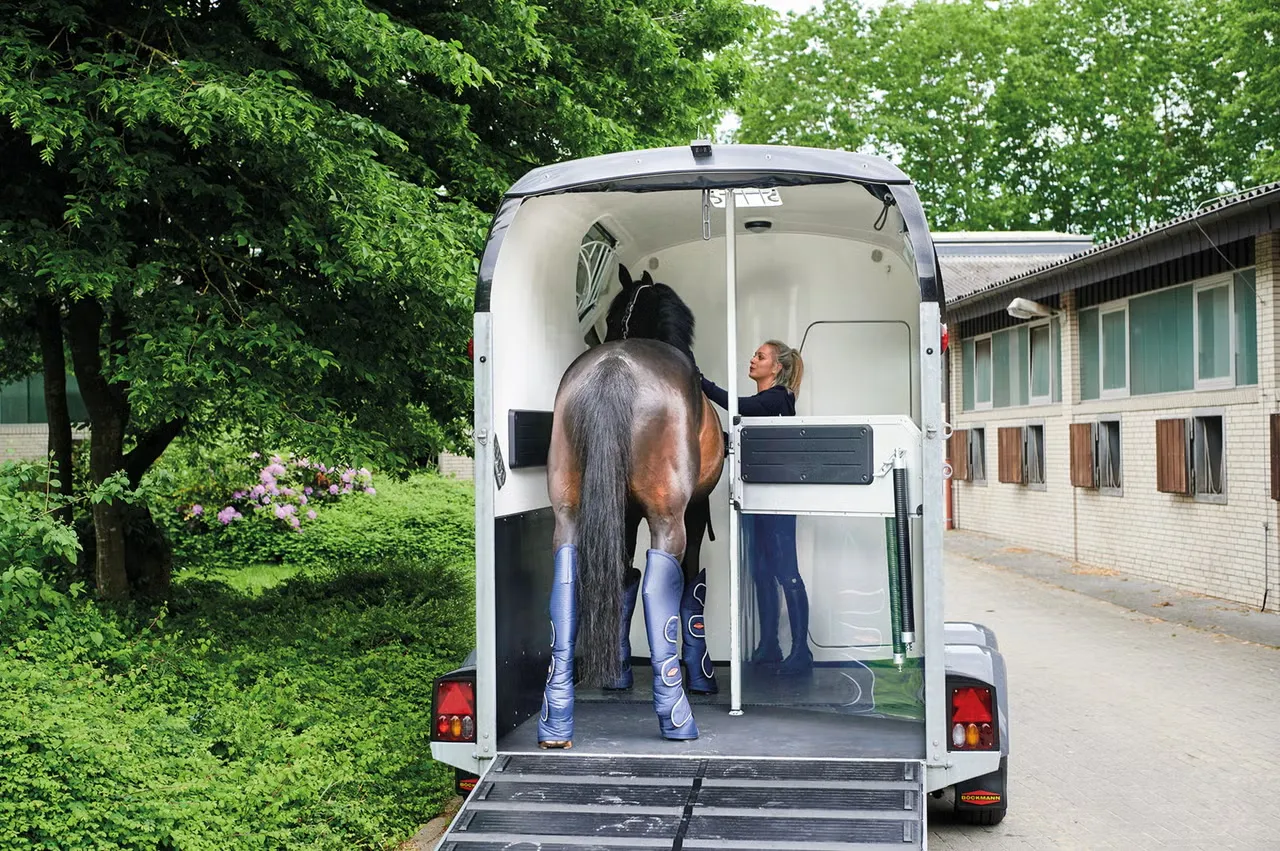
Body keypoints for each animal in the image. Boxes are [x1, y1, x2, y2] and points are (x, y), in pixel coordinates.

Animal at [538, 264, 726, 747]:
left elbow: (621, 581)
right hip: (668, 518)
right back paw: (678, 718)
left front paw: (617, 673)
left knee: (568, 583)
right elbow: (687, 589)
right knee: (663, 585)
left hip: (569, 514)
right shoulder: (695, 510)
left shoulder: (620, 516)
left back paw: (555, 724)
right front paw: (701, 677)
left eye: (609, 313)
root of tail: (612, 369)